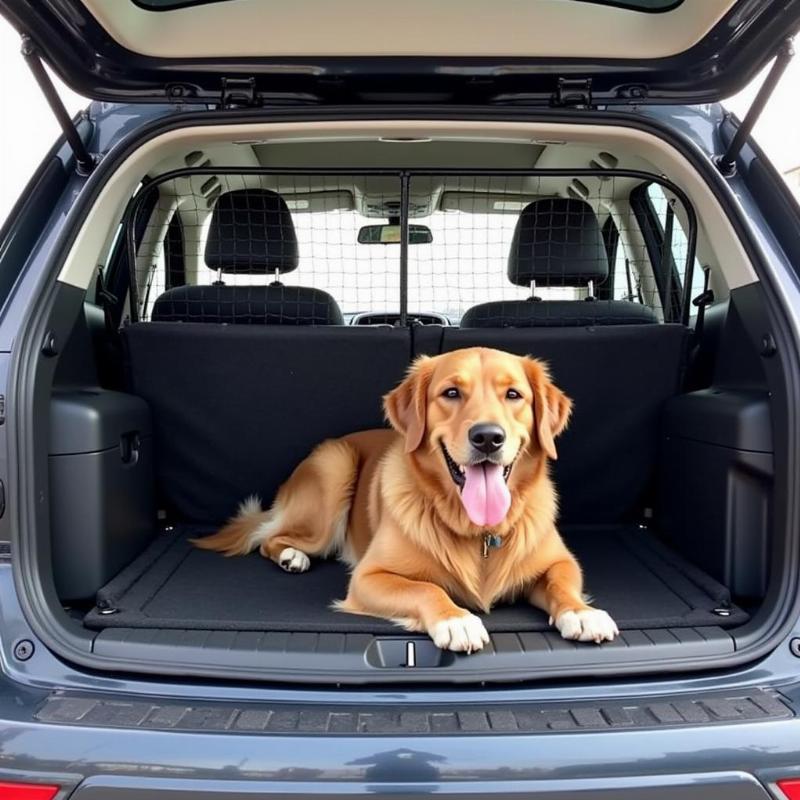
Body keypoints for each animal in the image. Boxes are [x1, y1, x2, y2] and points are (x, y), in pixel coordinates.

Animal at [194, 346, 620, 652]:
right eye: (451, 392)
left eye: (513, 394)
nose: (488, 437)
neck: (478, 531)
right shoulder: (369, 578)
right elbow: (426, 588)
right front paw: (456, 619)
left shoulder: (559, 561)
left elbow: (561, 583)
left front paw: (582, 612)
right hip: (334, 468)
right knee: (272, 537)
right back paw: (291, 556)